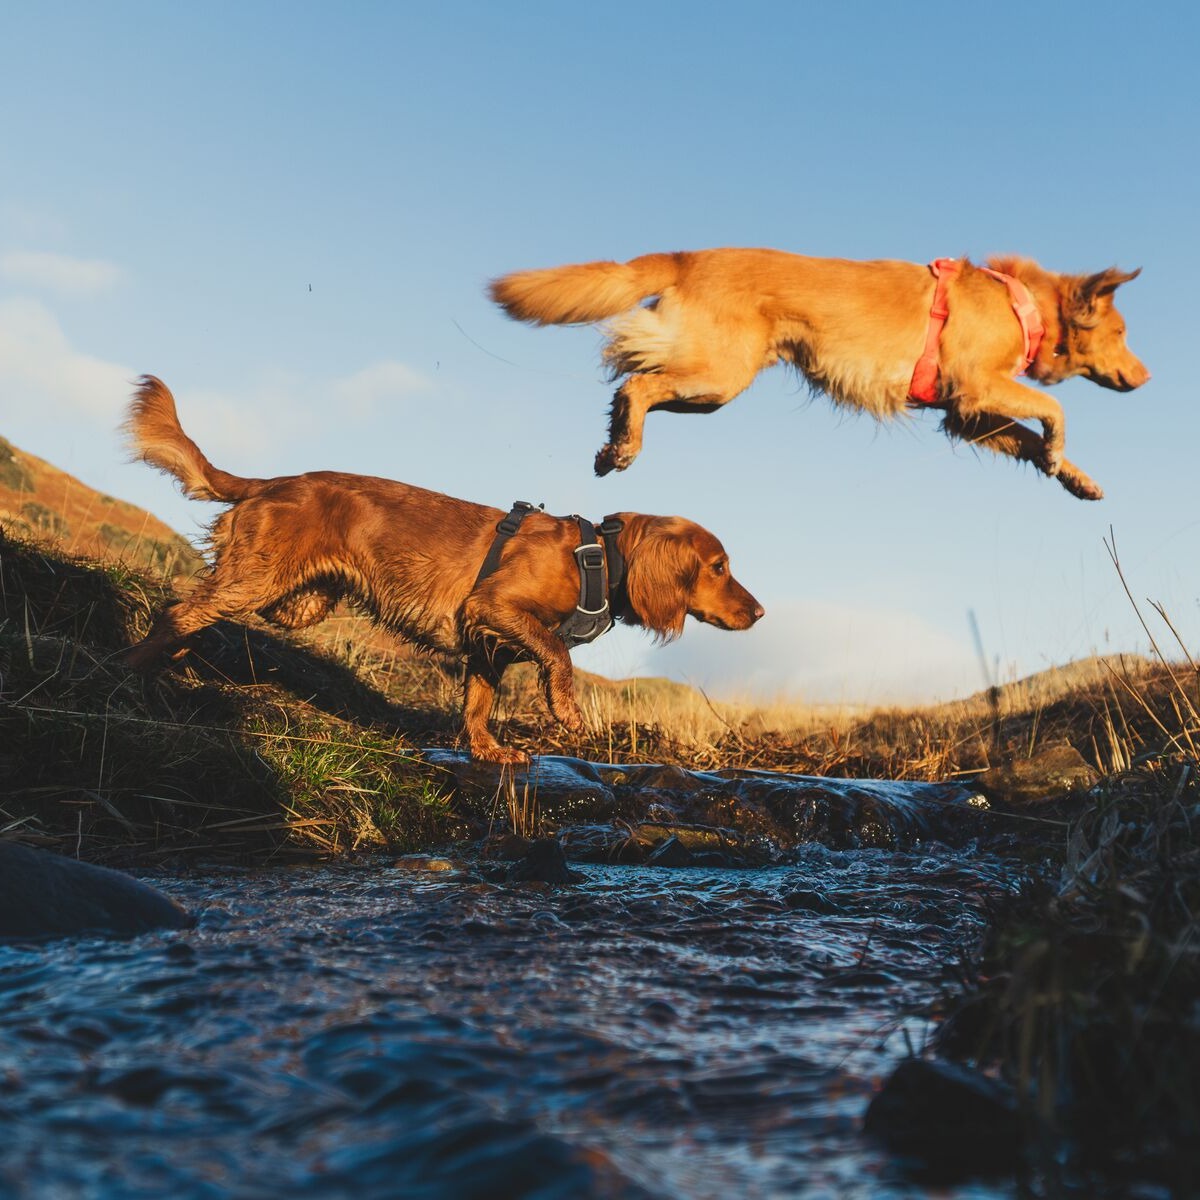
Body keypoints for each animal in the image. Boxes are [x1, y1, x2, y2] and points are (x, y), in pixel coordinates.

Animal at [126, 379, 763, 763]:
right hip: (258, 580)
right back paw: (136, 668)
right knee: (178, 609)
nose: (759, 612)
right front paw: (566, 712)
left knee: (196, 613)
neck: (599, 557)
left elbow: (478, 703)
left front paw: (487, 749)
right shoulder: (494, 607)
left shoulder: (488, 643)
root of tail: (273, 482)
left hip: (297, 600)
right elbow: (558, 654)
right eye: (719, 566)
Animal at [492, 250, 1147, 499]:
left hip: (707, 388)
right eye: (1121, 334)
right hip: (716, 377)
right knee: (635, 383)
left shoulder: (966, 415)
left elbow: (1029, 439)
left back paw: (611, 443)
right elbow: (1055, 411)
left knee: (630, 385)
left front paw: (1075, 478)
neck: (1023, 303)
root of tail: (688, 257)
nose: (1145, 378)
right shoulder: (977, 386)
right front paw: (1062, 454)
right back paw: (622, 446)